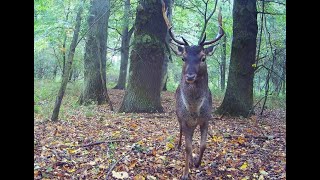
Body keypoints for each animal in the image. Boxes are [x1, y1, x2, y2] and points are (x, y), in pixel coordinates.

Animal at [162, 2, 225, 179]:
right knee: (181, 133)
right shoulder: (185, 120)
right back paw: (178, 145)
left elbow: (203, 145)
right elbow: (188, 147)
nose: (190, 76)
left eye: (203, 57)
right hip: (178, 116)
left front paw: (197, 162)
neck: (194, 110)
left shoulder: (206, 119)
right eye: (184, 58)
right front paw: (186, 172)